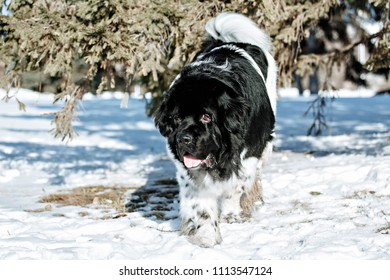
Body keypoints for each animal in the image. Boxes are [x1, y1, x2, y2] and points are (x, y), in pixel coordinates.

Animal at [154, 12, 276, 247]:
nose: (184, 139)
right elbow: (200, 202)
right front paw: (207, 234)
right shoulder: (187, 170)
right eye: (177, 118)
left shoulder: (248, 154)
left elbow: (235, 187)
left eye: (206, 116)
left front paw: (231, 214)